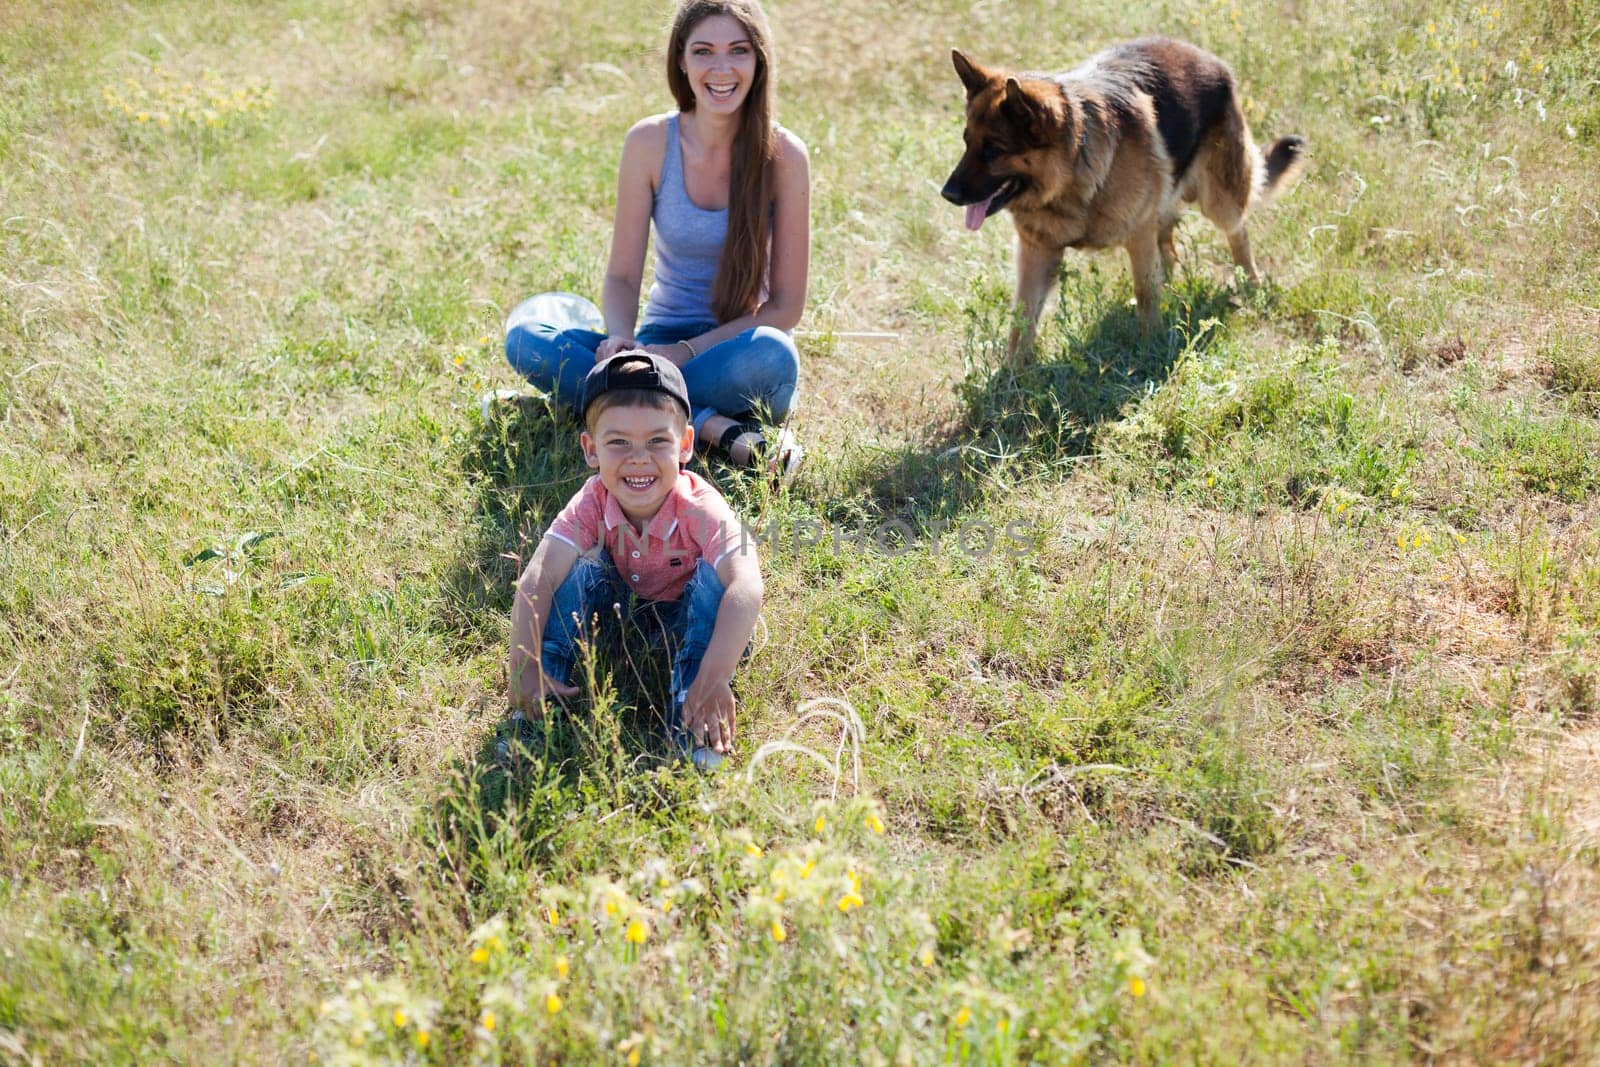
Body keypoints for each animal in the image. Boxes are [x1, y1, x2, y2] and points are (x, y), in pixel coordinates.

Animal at [940, 38, 1305, 363]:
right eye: (967, 142)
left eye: (993, 151)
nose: (947, 194)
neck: (1073, 171)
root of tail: (1207, 57)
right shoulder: (1036, 251)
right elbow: (1022, 317)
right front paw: (1012, 374)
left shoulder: (1137, 233)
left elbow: (1145, 292)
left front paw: (1149, 347)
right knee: (1168, 249)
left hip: (1219, 201)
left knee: (1237, 234)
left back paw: (1251, 285)